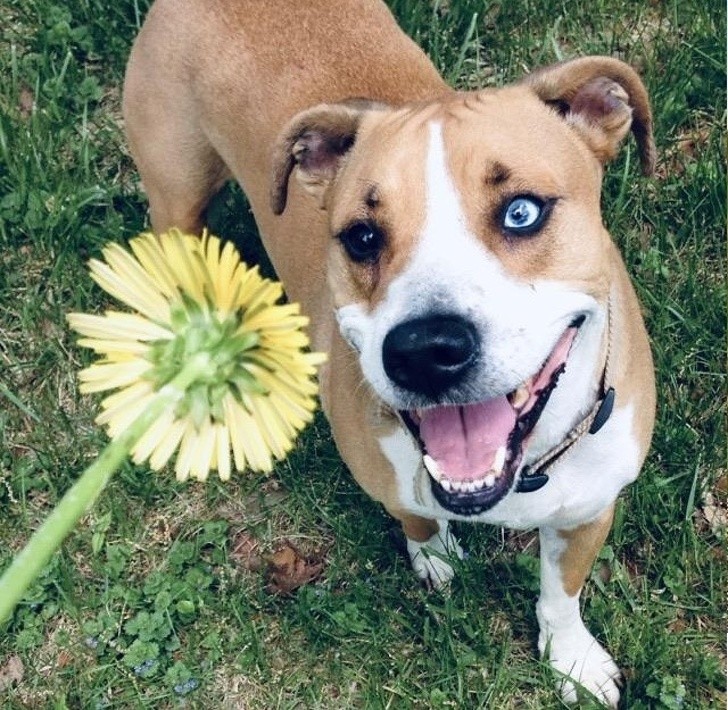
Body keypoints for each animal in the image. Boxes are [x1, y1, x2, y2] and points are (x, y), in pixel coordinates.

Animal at [122, 0, 656, 708]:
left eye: (521, 212)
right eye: (362, 237)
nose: (426, 350)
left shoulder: (589, 510)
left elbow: (561, 595)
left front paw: (572, 661)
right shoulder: (394, 484)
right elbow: (418, 521)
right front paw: (436, 560)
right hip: (176, 198)